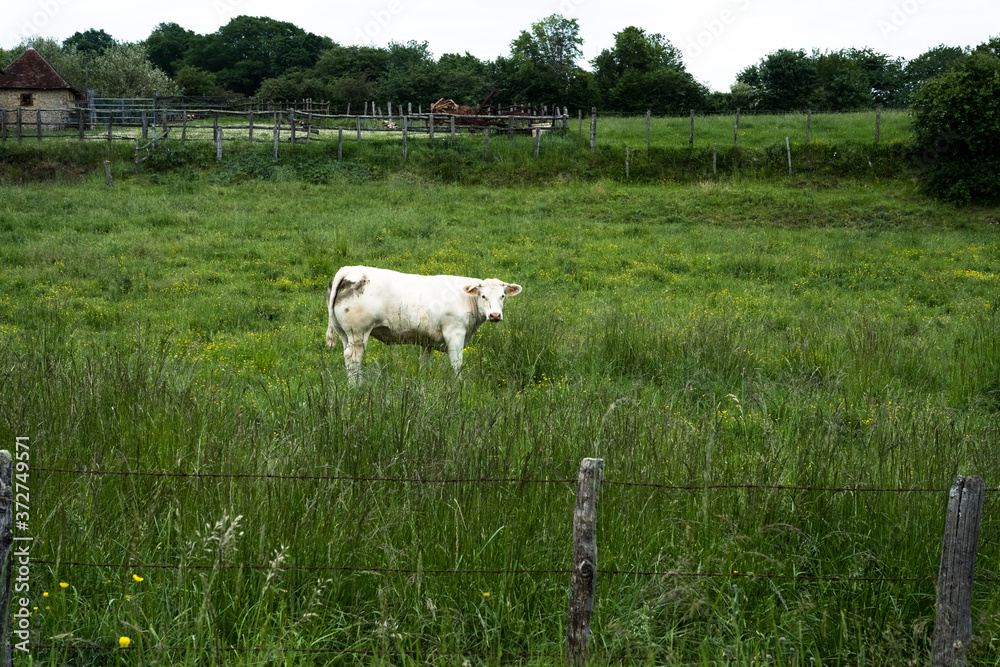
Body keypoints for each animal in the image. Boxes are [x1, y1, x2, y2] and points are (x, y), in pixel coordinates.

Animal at [326, 266, 523, 384]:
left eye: (502, 296)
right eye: (483, 296)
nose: (495, 315)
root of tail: (350, 270)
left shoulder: (426, 340)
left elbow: (424, 363)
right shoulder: (455, 334)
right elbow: (457, 363)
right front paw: (459, 386)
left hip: (345, 334)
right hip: (358, 332)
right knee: (353, 358)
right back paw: (356, 386)